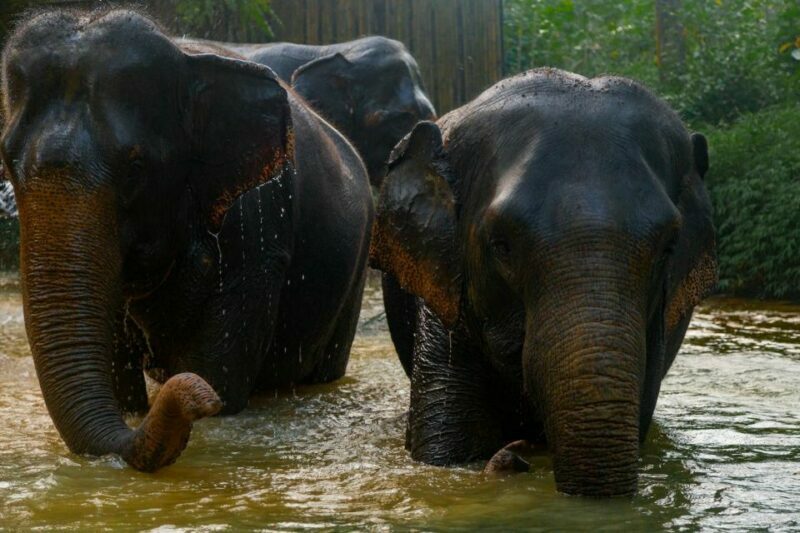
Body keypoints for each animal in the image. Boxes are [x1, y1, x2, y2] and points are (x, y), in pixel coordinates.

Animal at [0, 9, 373, 472]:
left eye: (135, 167)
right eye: (7, 162)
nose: (199, 397)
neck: (186, 61)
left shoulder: (258, 228)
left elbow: (222, 370)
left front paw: (212, 394)